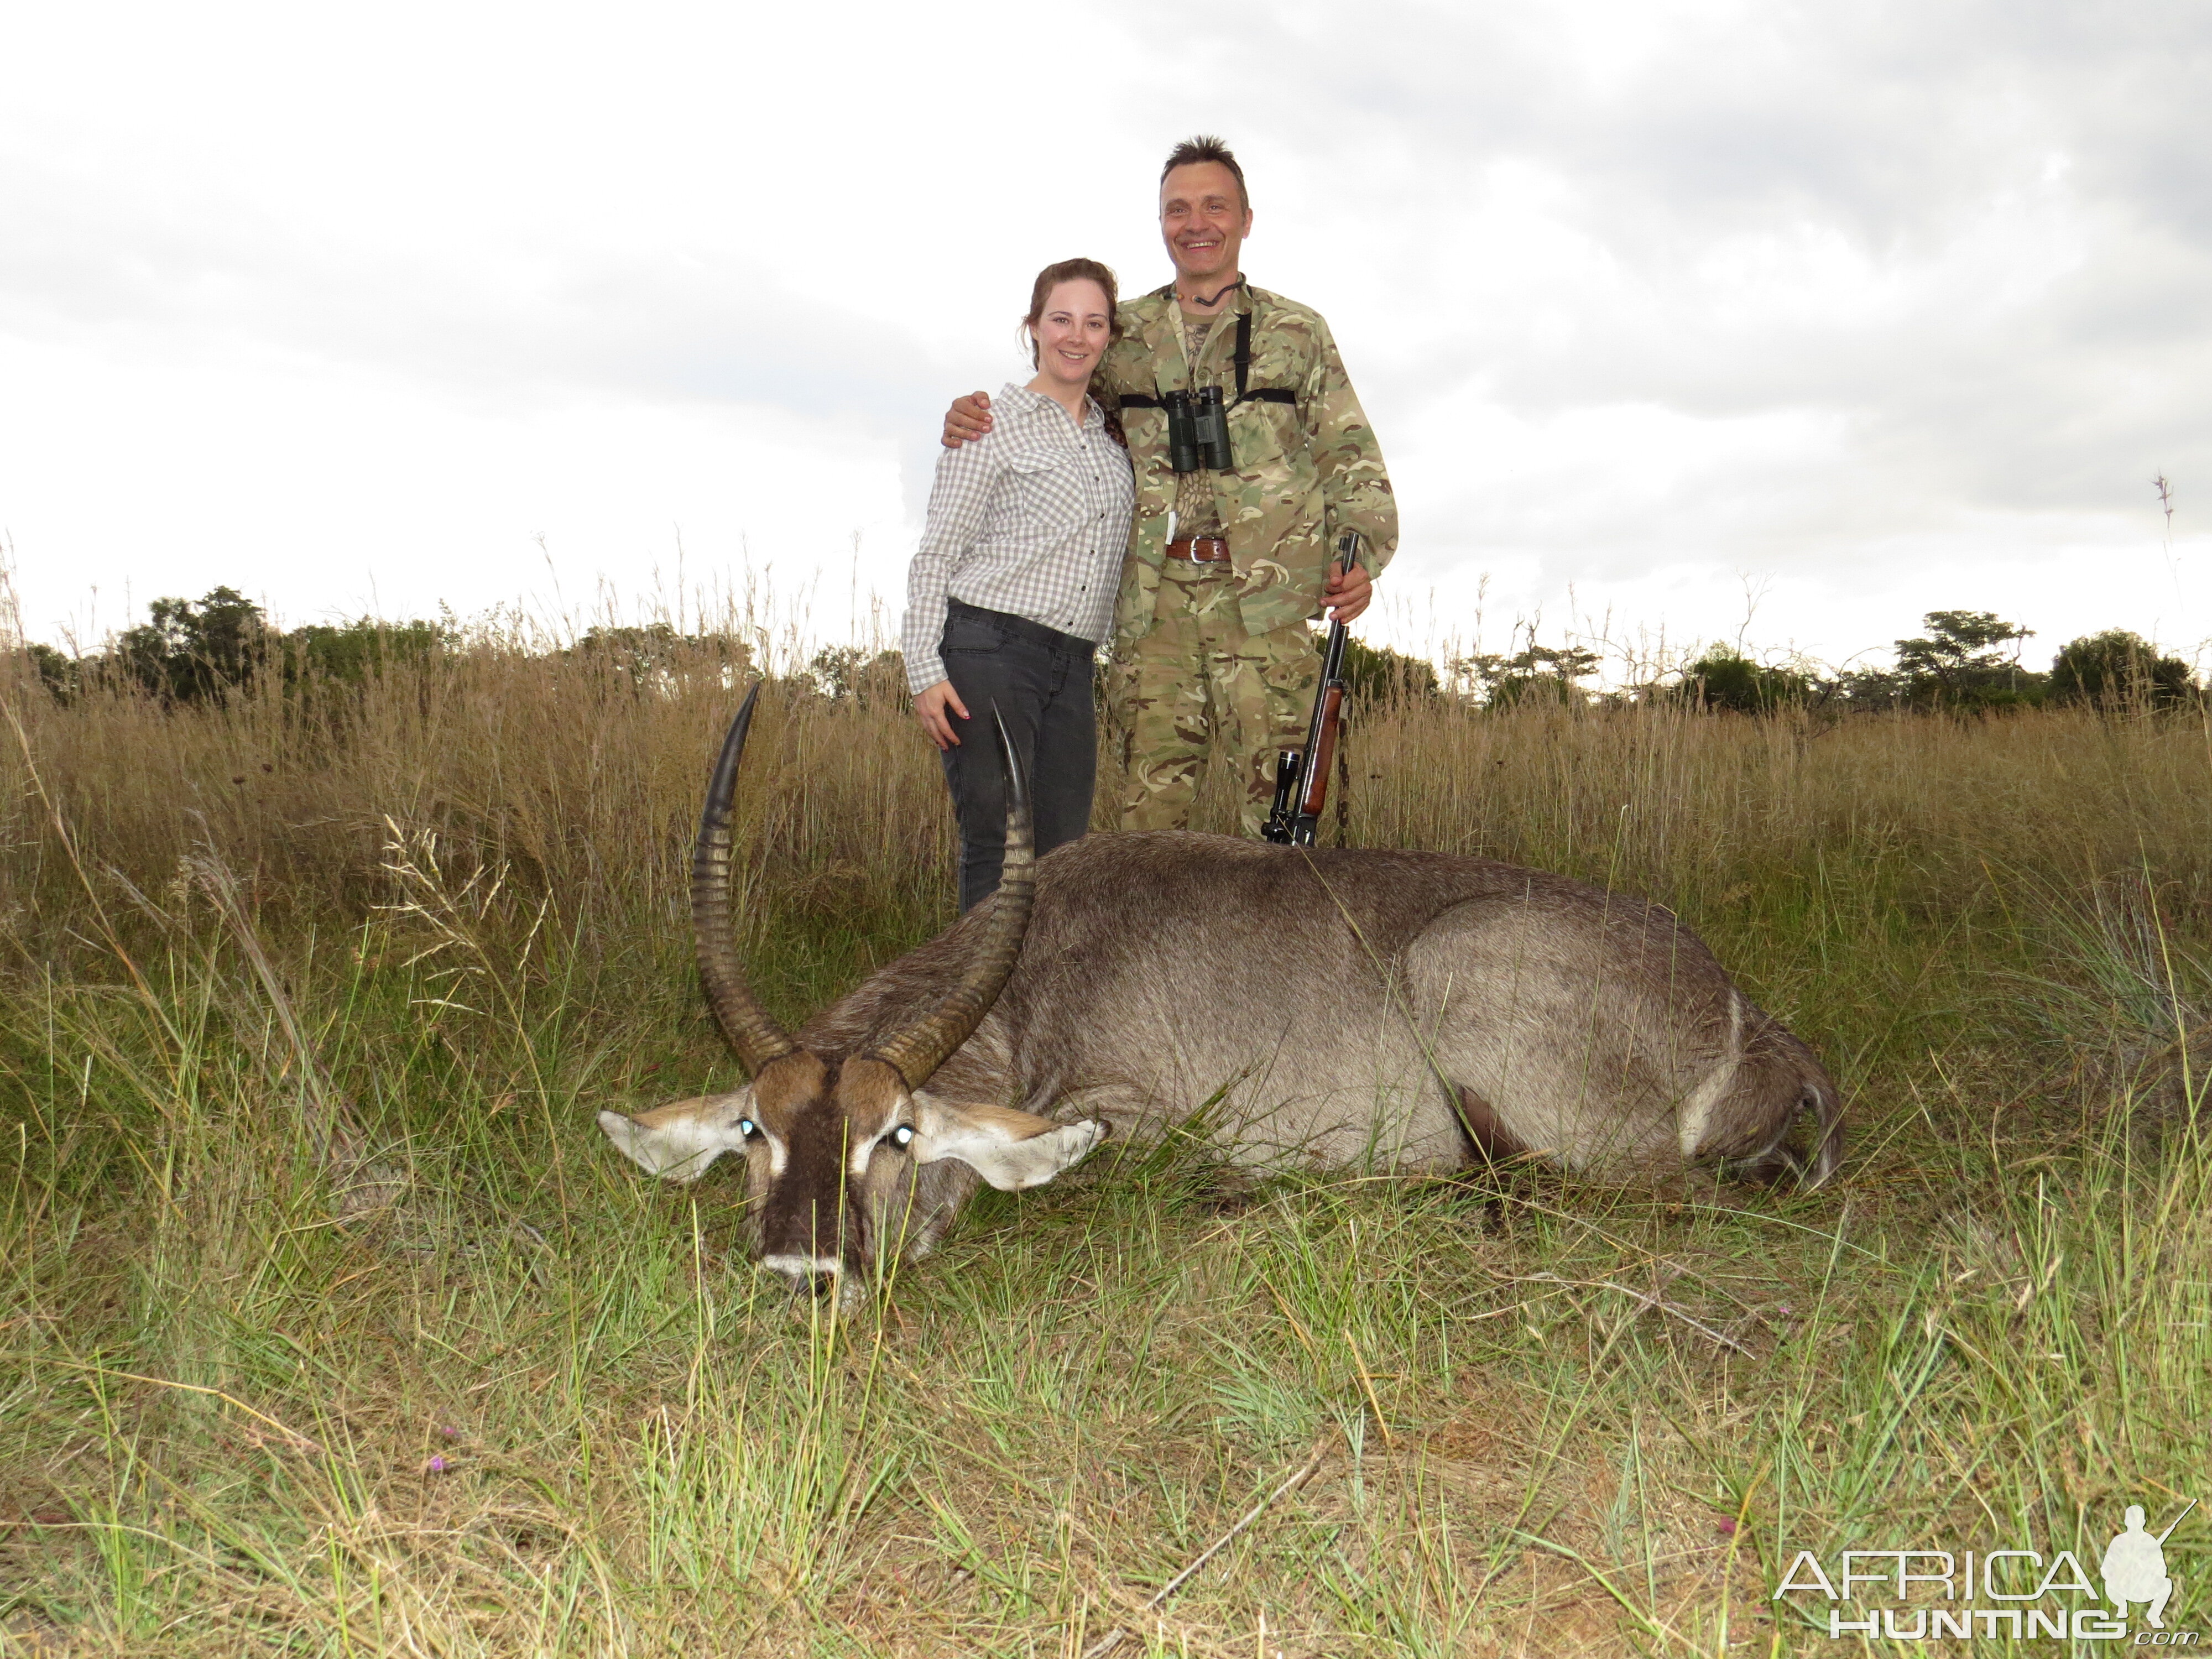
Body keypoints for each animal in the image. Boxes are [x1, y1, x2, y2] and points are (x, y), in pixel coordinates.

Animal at [597, 690, 1840, 1301]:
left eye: (895, 1136)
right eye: (754, 1130)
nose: (802, 1274)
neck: (1039, 975)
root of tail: (1751, 1021)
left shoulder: (1139, 1115)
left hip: (1466, 983)